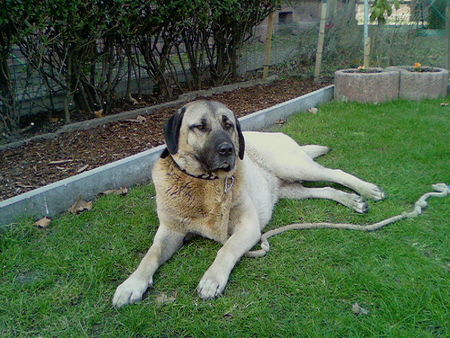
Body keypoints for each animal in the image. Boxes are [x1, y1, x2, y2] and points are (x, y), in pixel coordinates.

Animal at [112, 99, 384, 306]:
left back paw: (367, 190)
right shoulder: (170, 231)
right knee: (324, 189)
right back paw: (352, 200)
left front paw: (213, 278)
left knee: (335, 173)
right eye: (200, 126)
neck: (205, 183)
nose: (228, 149)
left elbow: (226, 249)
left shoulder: (248, 226)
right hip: (290, 189)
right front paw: (132, 284)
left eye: (228, 125)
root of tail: (276, 134)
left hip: (292, 166)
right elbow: (151, 254)